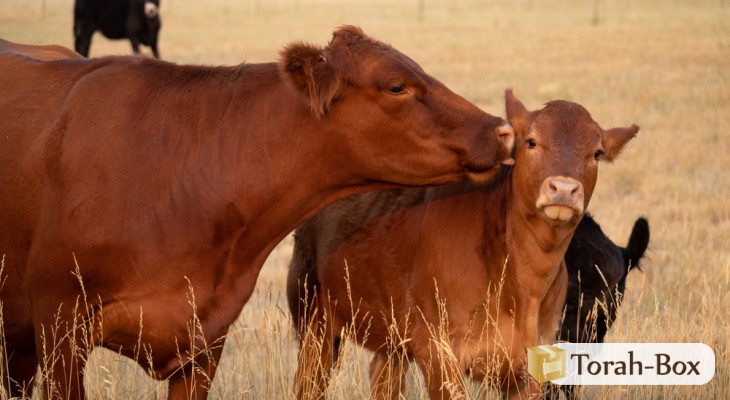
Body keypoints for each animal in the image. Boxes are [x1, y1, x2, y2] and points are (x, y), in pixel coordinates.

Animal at [286, 89, 638, 399]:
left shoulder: (533, 370)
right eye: (531, 141)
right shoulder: (440, 356)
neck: (522, 282)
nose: (564, 189)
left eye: (596, 153)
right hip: (314, 322)